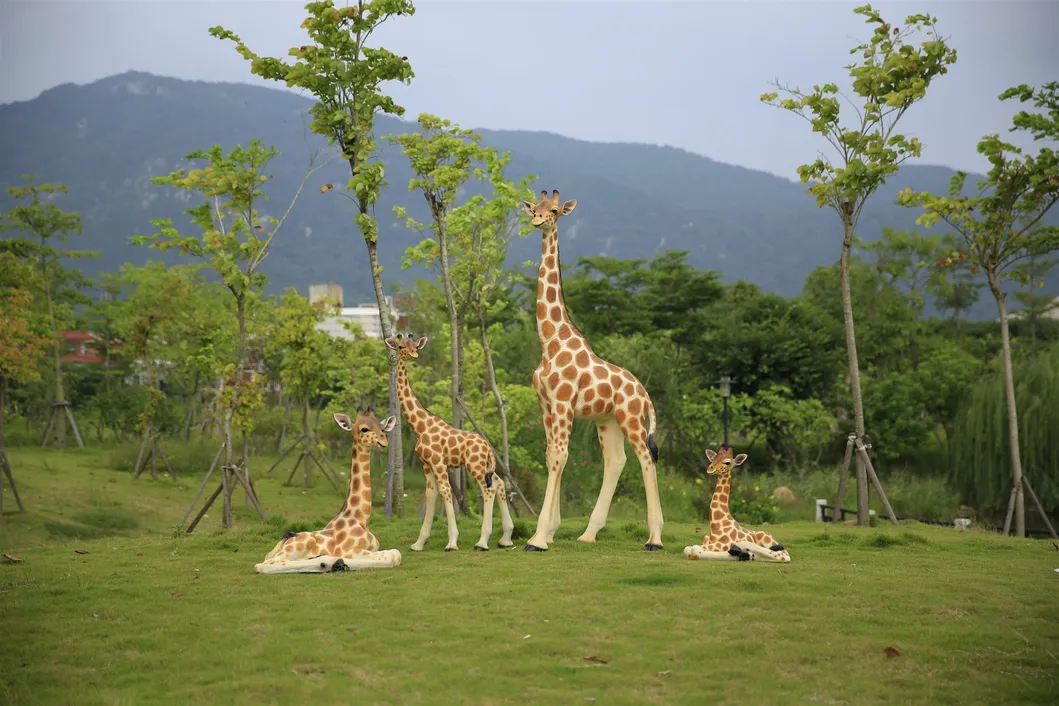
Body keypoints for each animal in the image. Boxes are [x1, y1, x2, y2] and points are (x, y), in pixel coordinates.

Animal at [254, 409, 403, 574]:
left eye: (382, 427)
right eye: (364, 429)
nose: (384, 441)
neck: (361, 518)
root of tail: (280, 544)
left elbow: (395, 553)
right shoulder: (350, 550)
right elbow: (391, 555)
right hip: (303, 542)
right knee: (263, 565)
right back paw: (331, 562)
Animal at [385, 334, 515, 553]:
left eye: (414, 345)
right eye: (402, 346)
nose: (414, 355)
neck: (420, 426)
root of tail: (488, 448)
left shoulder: (438, 462)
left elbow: (446, 492)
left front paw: (452, 543)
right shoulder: (426, 465)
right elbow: (431, 495)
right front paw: (418, 544)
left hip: (474, 466)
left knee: (488, 489)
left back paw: (482, 542)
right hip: (486, 466)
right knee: (499, 483)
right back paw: (506, 538)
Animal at [522, 189, 664, 552]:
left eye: (554, 211)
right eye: (535, 207)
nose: (538, 221)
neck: (549, 340)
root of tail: (645, 394)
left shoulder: (562, 403)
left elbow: (559, 457)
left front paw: (538, 538)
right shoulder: (546, 405)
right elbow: (552, 456)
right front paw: (550, 531)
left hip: (631, 419)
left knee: (646, 458)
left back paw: (655, 538)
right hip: (607, 421)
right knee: (616, 461)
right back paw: (589, 533)